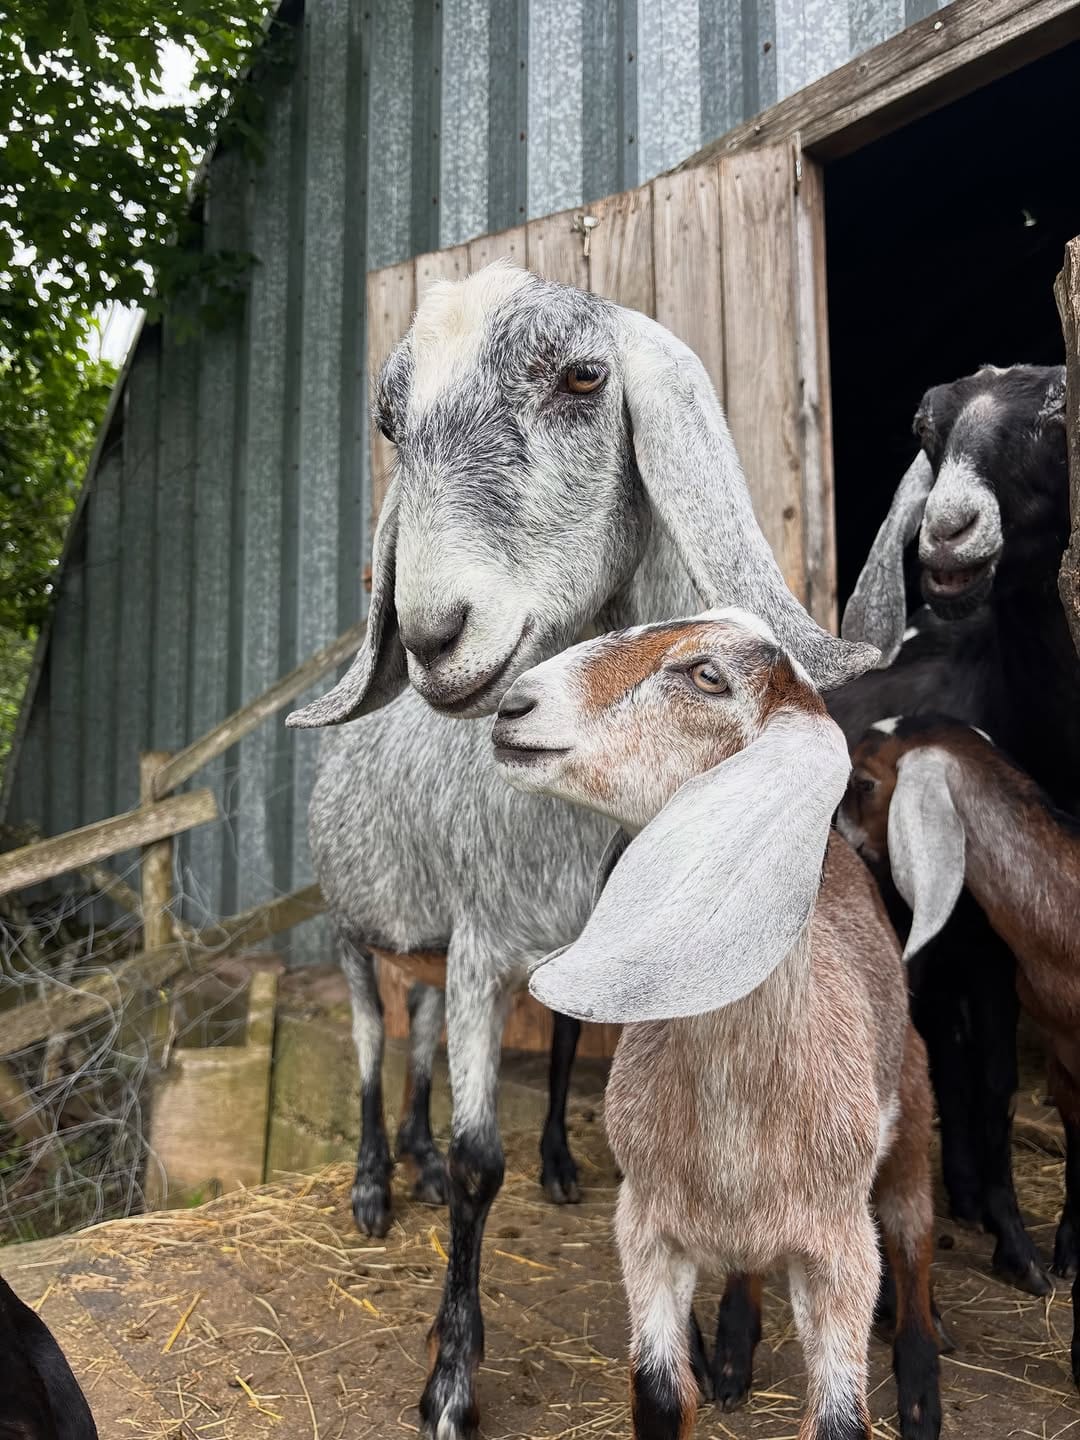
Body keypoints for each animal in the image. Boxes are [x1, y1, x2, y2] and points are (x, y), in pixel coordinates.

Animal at [292, 262, 875, 1440]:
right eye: (389, 423)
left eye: (582, 378)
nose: (430, 635)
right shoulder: (481, 944)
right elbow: (482, 1162)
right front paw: (451, 1382)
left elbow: (584, 1085)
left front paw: (704, 1335)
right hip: (350, 933)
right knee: (375, 1047)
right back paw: (377, 1183)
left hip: (436, 954)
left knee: (427, 1045)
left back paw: (434, 1161)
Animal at [493, 608, 942, 1440]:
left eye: (707, 675)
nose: (514, 705)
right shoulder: (644, 1231)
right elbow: (660, 1394)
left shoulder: (840, 1250)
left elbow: (842, 1417)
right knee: (747, 1261)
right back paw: (735, 1341)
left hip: (911, 1106)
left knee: (914, 1233)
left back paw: (924, 1381)